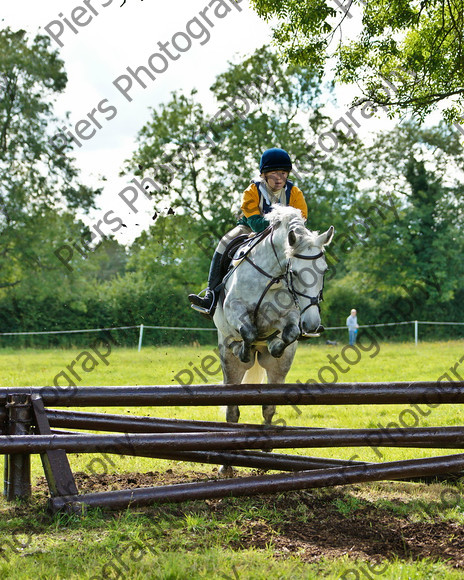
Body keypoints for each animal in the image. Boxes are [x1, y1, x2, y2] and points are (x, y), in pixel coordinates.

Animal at [214, 206, 334, 474]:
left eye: (324, 271)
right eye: (296, 272)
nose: (312, 324)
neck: (274, 276)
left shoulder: (290, 316)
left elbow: (289, 333)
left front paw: (274, 344)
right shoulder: (235, 309)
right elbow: (247, 331)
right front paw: (244, 349)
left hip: (279, 368)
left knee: (269, 404)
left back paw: (268, 449)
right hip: (228, 361)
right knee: (232, 409)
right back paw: (226, 465)